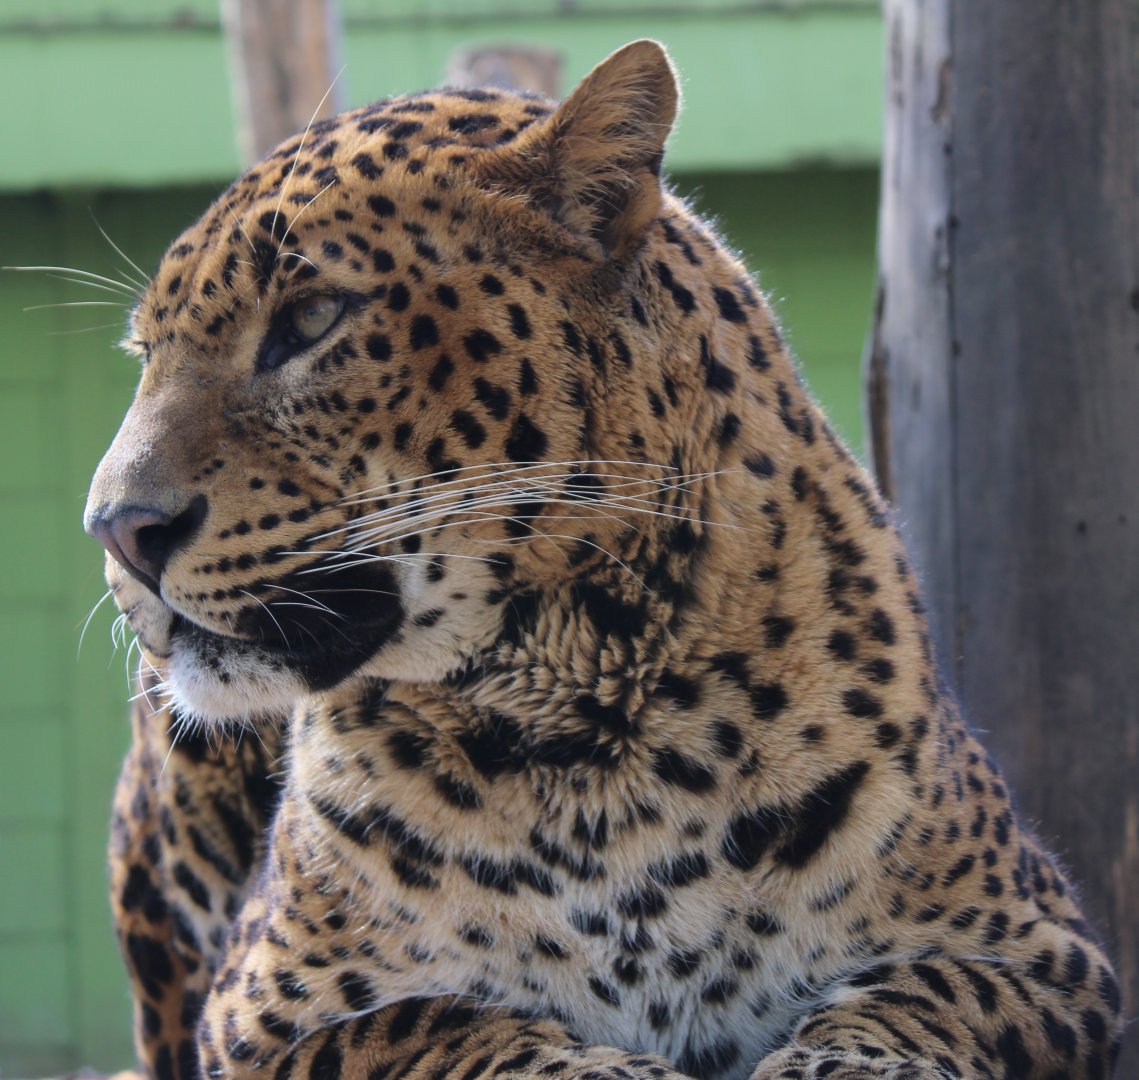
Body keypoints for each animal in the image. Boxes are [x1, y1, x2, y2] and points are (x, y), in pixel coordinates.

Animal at [83, 40, 1124, 1080]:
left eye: (310, 319)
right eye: (144, 356)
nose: (116, 528)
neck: (589, 731)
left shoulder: (1042, 950)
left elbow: (906, 1001)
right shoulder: (256, 1018)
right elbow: (446, 1025)